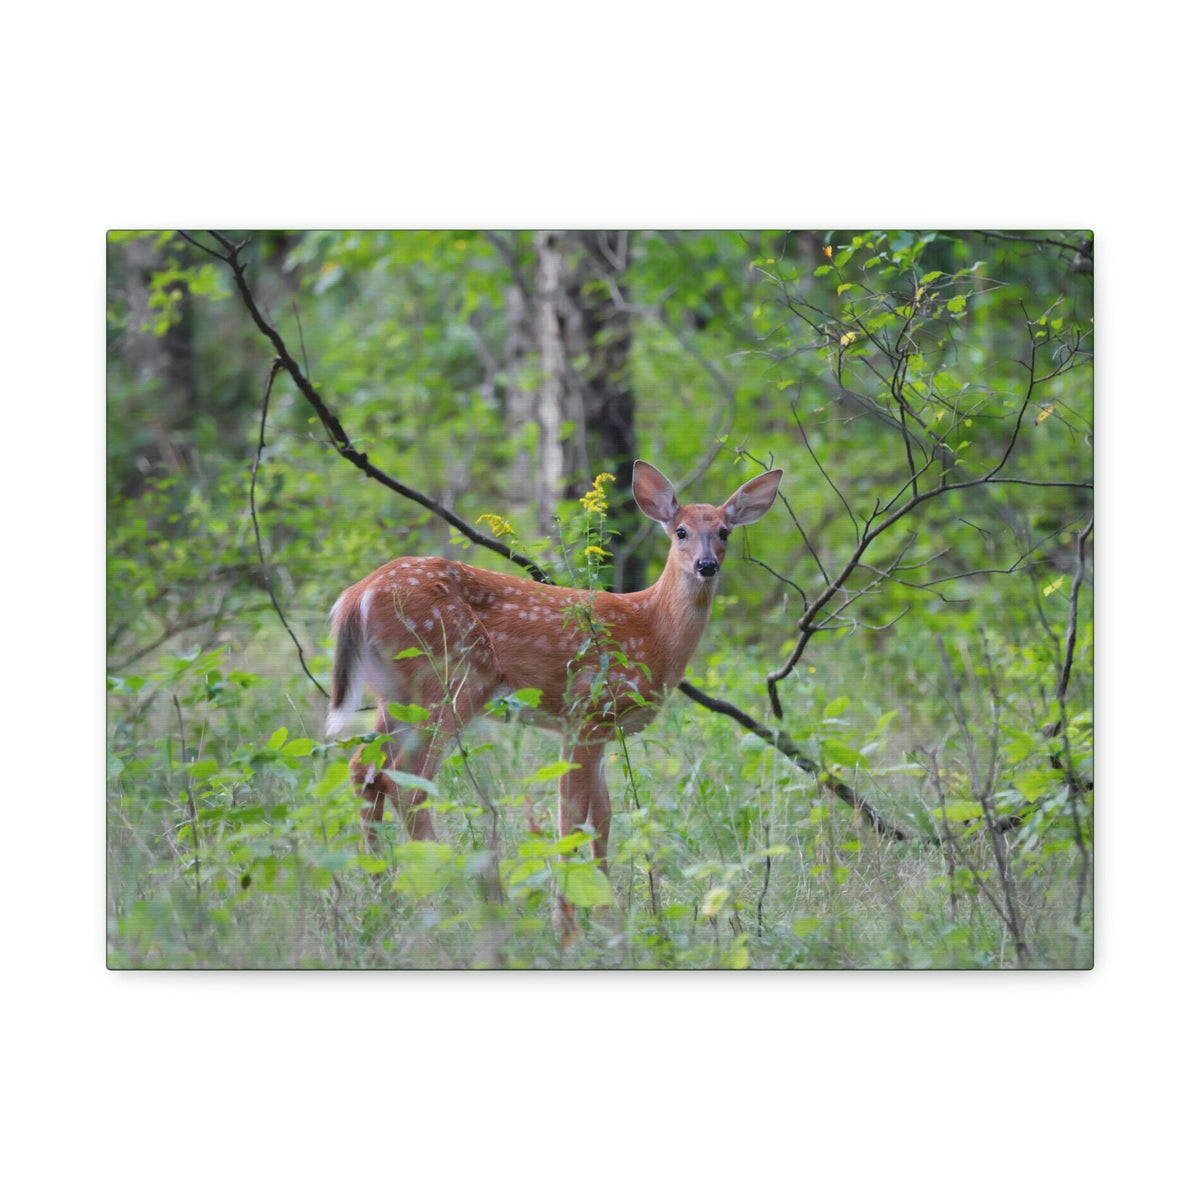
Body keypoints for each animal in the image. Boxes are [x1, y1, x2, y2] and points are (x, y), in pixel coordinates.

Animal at [325, 459, 782, 922]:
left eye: (724, 531)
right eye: (681, 531)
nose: (707, 565)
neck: (652, 630)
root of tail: (355, 596)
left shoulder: (596, 729)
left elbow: (602, 816)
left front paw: (607, 911)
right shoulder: (587, 711)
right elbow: (573, 815)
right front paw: (567, 914)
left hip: (395, 693)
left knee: (364, 770)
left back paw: (385, 892)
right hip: (450, 680)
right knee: (407, 781)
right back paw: (450, 894)